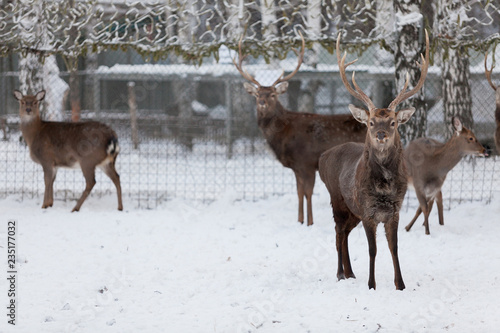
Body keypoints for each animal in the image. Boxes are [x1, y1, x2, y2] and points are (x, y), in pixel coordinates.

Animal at [232, 31, 366, 226]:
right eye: (257, 94)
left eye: (272, 94)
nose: (262, 102)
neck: (284, 137)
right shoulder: (297, 167)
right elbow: (299, 192)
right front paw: (300, 221)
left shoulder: (306, 162)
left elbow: (308, 193)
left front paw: (310, 222)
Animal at [320, 31, 430, 290]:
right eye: (371, 122)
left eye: (393, 122)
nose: (381, 134)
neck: (384, 188)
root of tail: (322, 157)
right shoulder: (369, 212)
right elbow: (372, 250)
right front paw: (372, 285)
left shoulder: (394, 212)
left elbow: (394, 248)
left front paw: (400, 284)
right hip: (337, 199)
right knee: (338, 233)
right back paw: (340, 274)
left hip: (353, 210)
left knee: (345, 234)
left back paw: (350, 273)